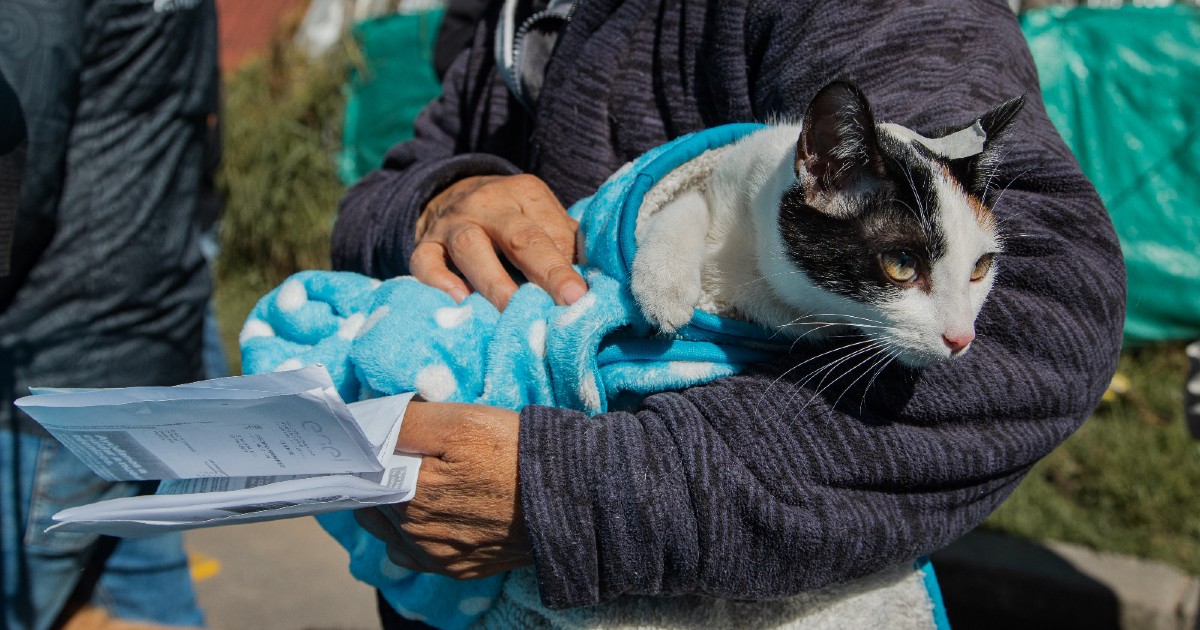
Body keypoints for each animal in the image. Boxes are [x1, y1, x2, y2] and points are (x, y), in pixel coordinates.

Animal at [628, 83, 1022, 369]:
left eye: (980, 267)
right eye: (902, 263)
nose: (962, 338)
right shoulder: (719, 176)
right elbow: (687, 201)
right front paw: (665, 288)